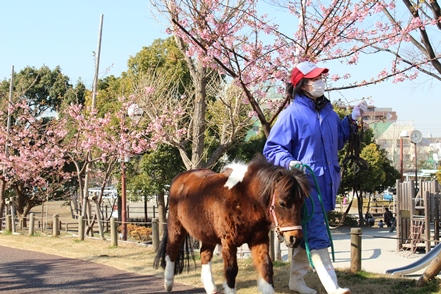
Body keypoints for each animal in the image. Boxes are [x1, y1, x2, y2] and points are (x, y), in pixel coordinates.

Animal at [153, 154, 308, 294]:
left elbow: (266, 267)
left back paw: (211, 288)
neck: (244, 197)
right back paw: (168, 284)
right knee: (171, 251)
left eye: (301, 203)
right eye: (282, 203)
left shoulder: (259, 240)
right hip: (176, 226)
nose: (295, 238)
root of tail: (180, 178)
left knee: (204, 255)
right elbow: (231, 270)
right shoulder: (228, 241)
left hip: (207, 233)